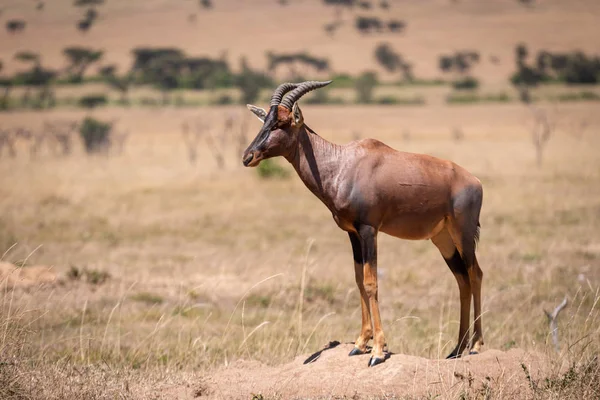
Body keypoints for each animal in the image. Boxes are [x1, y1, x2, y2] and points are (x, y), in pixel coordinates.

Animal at [243, 80, 482, 366]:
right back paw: (457, 348)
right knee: (462, 280)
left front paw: (378, 351)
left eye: (281, 123)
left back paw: (477, 346)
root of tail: (475, 181)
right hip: (443, 239)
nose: (248, 156)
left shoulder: (369, 230)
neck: (342, 164)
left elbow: (371, 282)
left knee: (475, 275)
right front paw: (360, 344)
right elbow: (358, 279)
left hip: (463, 234)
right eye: (265, 121)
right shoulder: (353, 234)